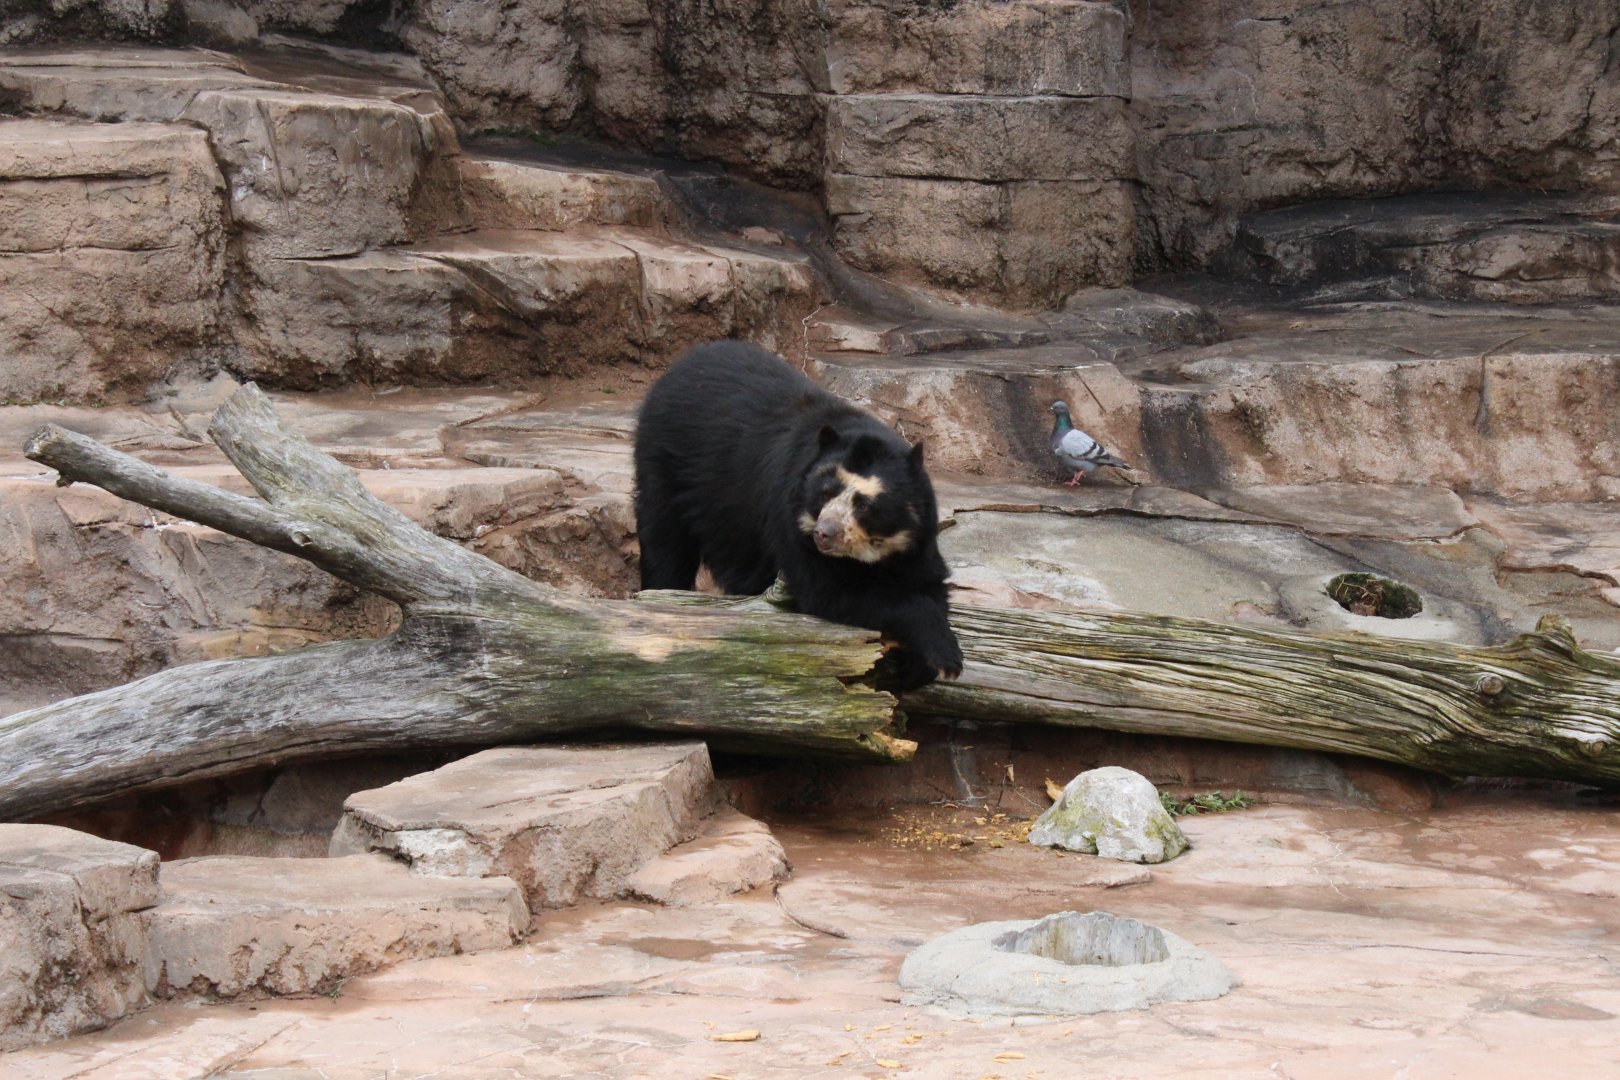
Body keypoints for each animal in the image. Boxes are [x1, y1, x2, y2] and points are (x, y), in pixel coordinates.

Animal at [633, 340, 963, 691]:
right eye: (824, 493)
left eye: (862, 505)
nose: (824, 533)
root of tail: (683, 363)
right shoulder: (790, 518)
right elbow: (832, 592)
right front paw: (945, 657)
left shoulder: (917, 535)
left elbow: (927, 581)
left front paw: (917, 666)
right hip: (664, 461)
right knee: (665, 542)